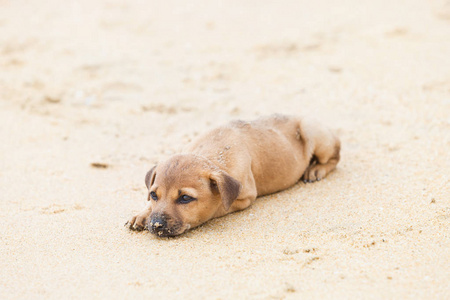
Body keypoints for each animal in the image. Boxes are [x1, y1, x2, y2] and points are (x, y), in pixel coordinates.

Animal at [125, 114, 340, 237]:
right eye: (153, 195)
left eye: (185, 198)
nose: (156, 225)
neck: (212, 151)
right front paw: (142, 214)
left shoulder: (245, 197)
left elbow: (218, 206)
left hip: (313, 131)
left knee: (335, 157)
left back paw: (316, 168)